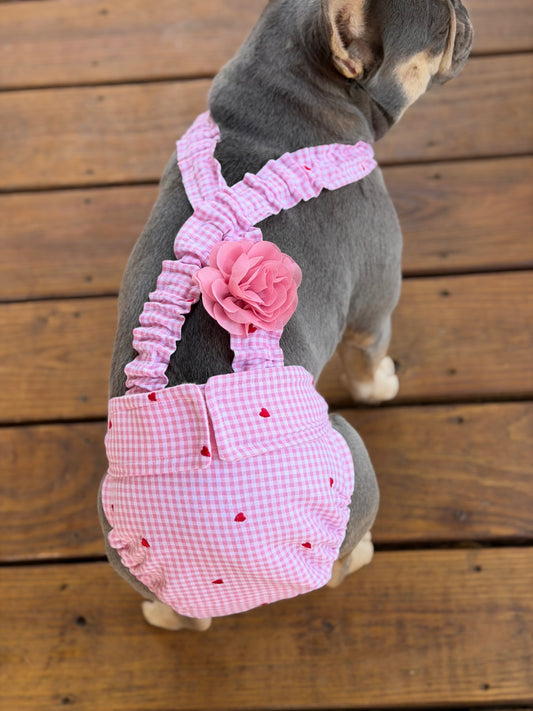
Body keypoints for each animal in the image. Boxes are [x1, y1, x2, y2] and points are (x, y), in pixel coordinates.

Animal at [99, 0, 473, 631]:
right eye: (442, 26)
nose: (468, 14)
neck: (280, 97)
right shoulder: (374, 306)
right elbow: (368, 364)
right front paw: (383, 383)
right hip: (352, 461)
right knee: (341, 560)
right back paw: (360, 553)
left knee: (177, 614)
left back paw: (163, 615)